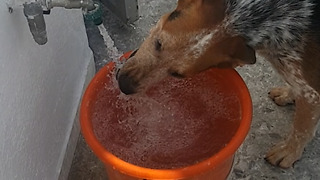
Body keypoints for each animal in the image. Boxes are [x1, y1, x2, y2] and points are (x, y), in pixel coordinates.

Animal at [117, 0, 320, 169]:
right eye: (159, 44)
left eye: (177, 74)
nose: (124, 86)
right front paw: (288, 94)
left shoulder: (312, 93)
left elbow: (302, 128)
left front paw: (289, 152)